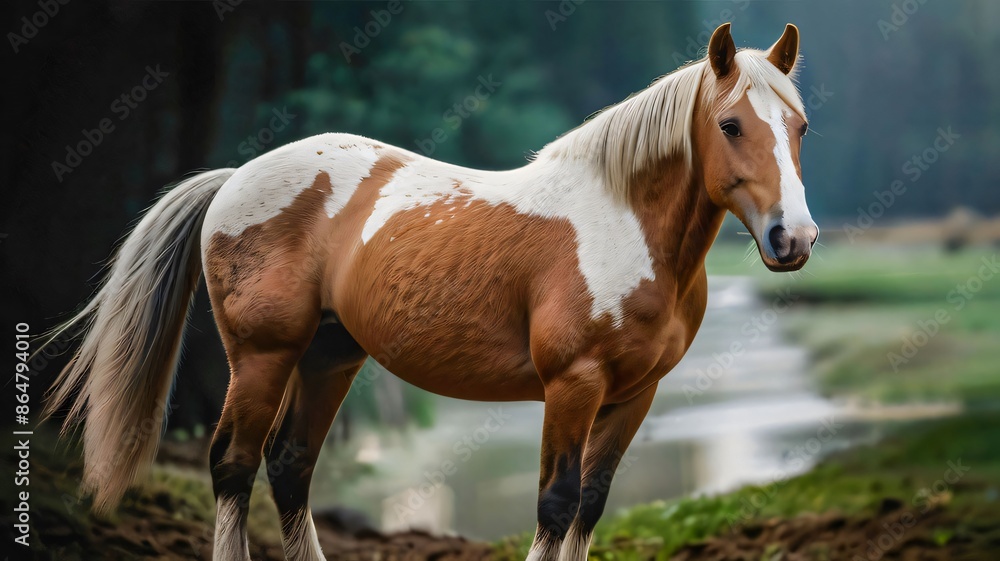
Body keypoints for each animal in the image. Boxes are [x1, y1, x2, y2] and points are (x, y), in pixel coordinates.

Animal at [43, 22, 817, 561]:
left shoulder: (634, 395)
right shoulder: (573, 385)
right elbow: (556, 504)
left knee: (289, 467)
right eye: (730, 124)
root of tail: (234, 179)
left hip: (329, 356)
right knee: (232, 467)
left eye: (800, 127)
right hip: (262, 357)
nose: (795, 238)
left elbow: (590, 507)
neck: (622, 223)